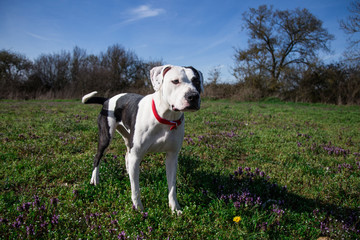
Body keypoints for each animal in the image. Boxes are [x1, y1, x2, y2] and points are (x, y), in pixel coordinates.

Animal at [82, 64, 204, 214]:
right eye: (175, 81)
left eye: (196, 81)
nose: (193, 96)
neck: (166, 117)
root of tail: (107, 99)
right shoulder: (137, 154)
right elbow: (135, 188)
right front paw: (138, 208)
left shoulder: (172, 157)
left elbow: (172, 187)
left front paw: (174, 208)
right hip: (105, 138)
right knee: (97, 157)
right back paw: (95, 179)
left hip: (127, 139)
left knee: (127, 156)